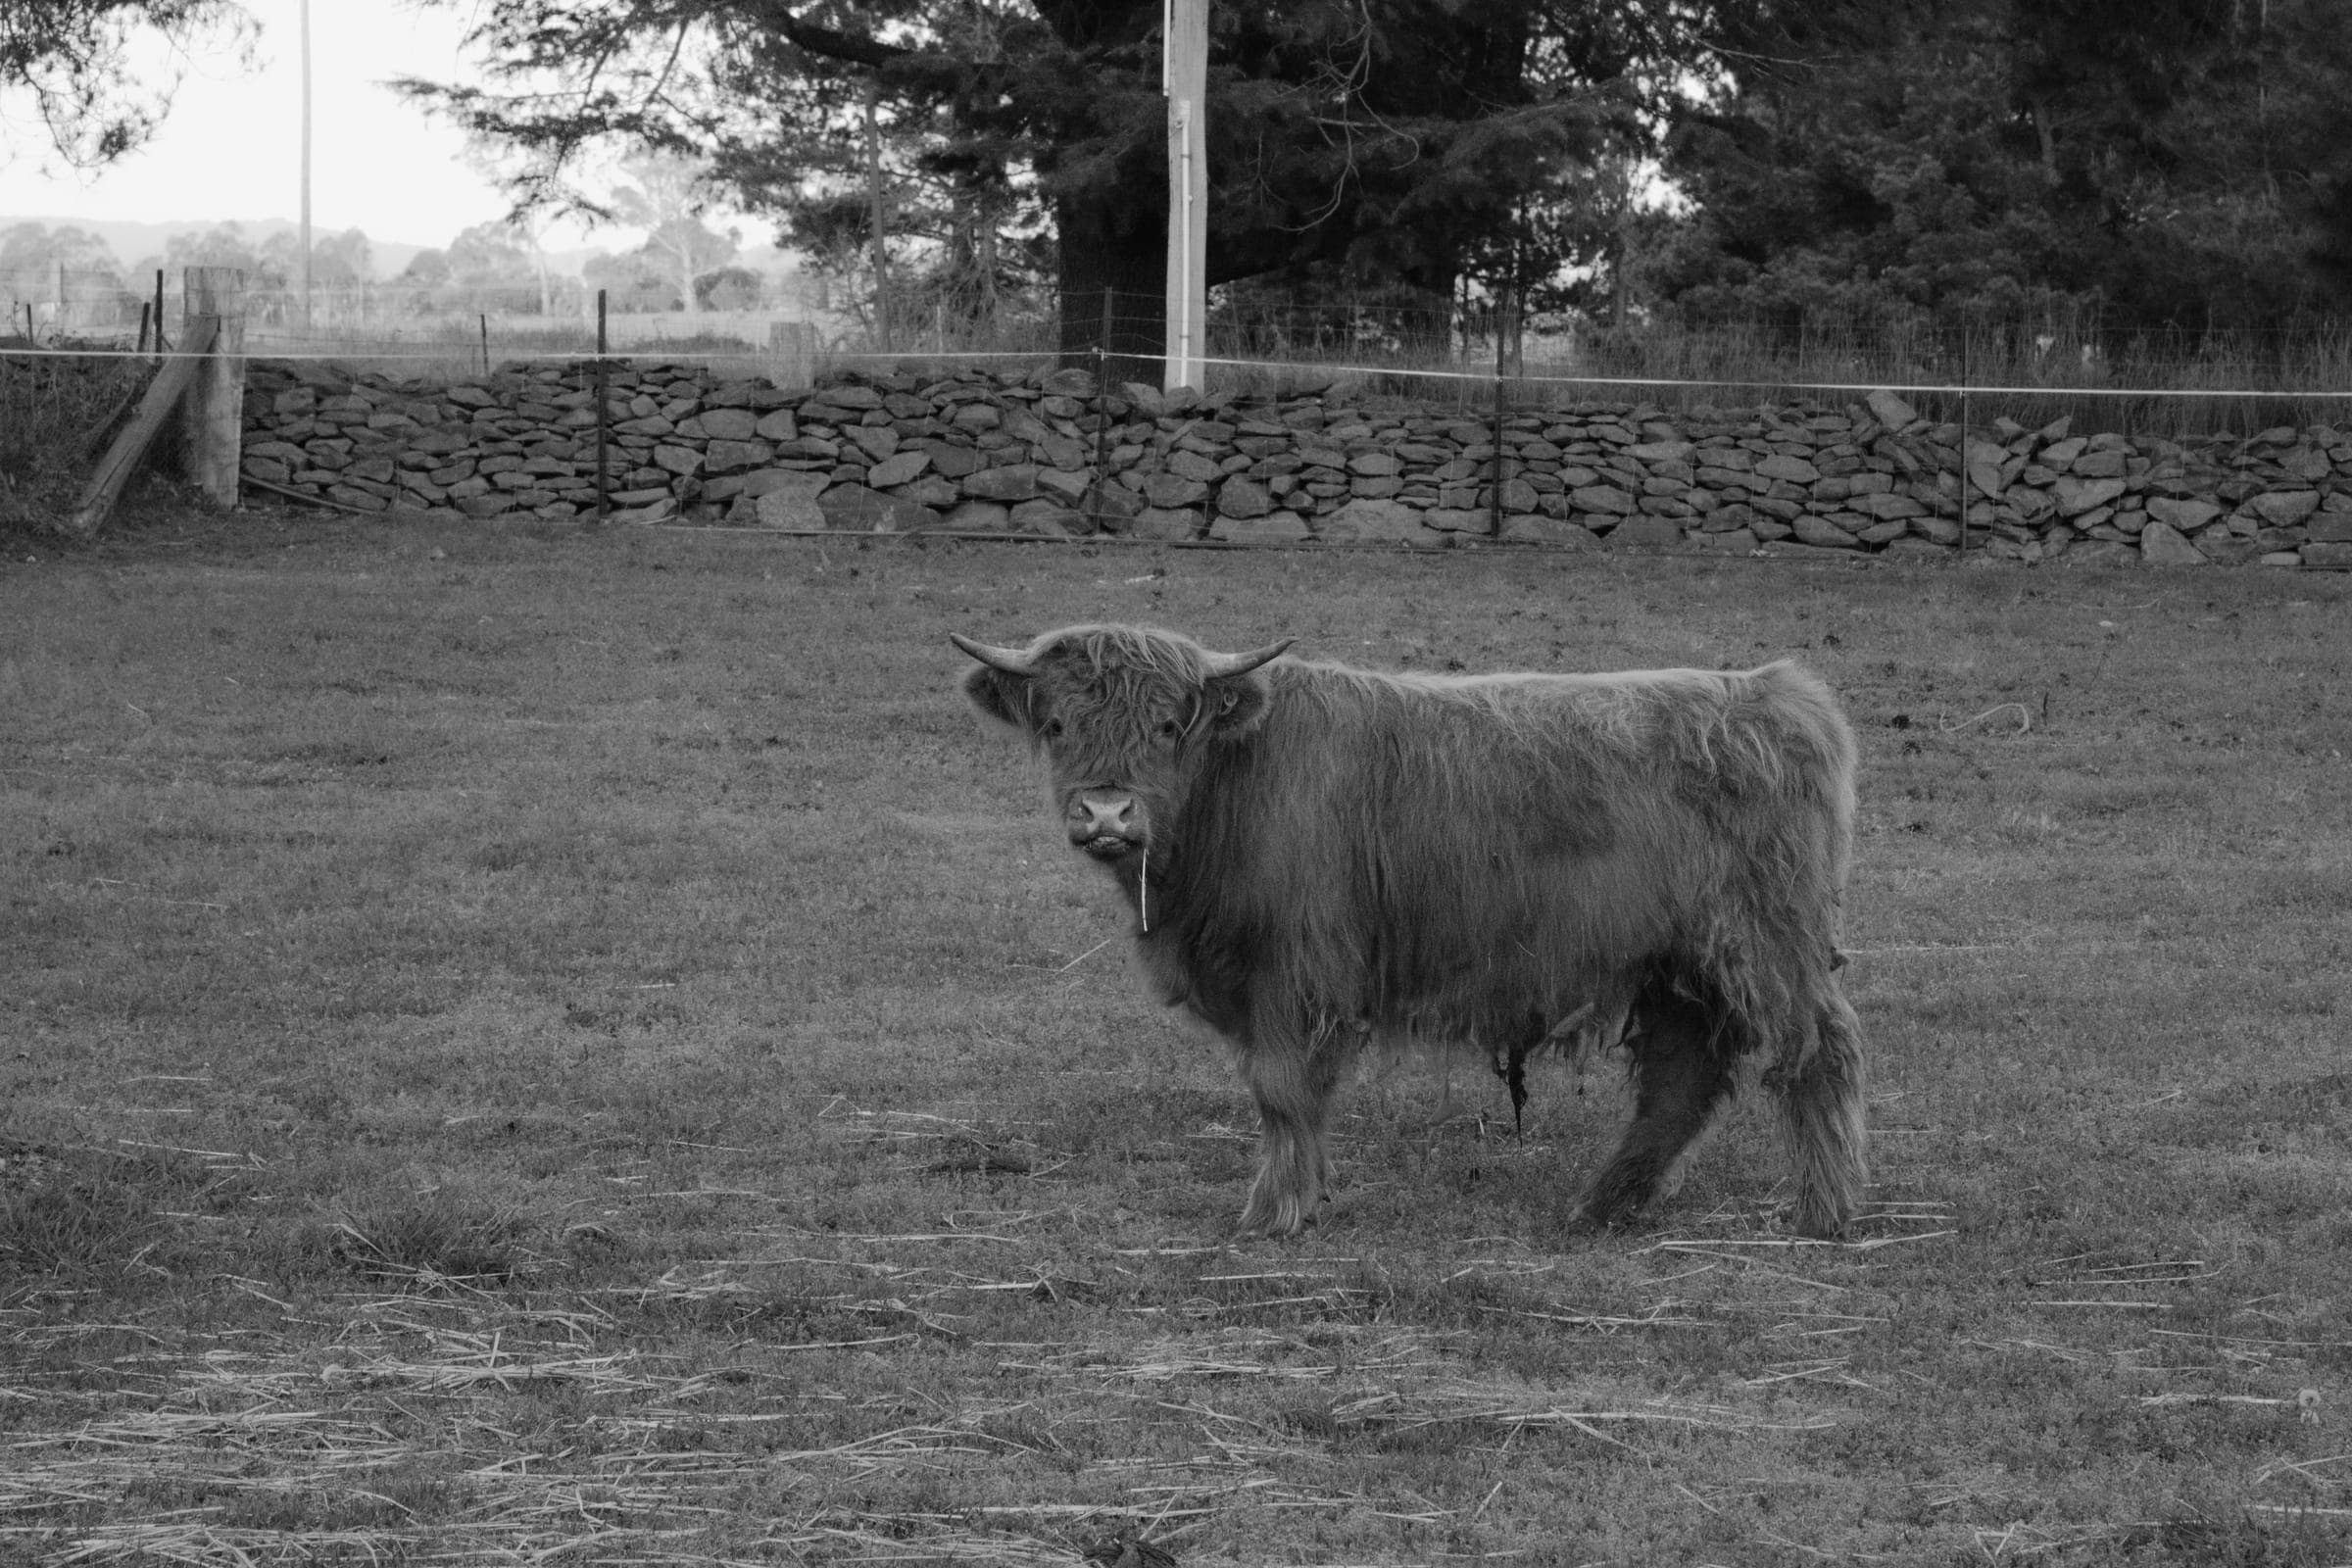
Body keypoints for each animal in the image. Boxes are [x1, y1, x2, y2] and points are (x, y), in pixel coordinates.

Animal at [952, 623, 1867, 1239]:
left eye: (1171, 725)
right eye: (1058, 725)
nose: (1108, 813)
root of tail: (1772, 691)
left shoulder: (1299, 969)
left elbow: (1282, 1090)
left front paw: (1273, 1212)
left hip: (1766, 942)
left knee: (1817, 1049)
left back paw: (1822, 1211)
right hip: (1675, 964)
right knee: (1684, 1077)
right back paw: (1604, 1203)